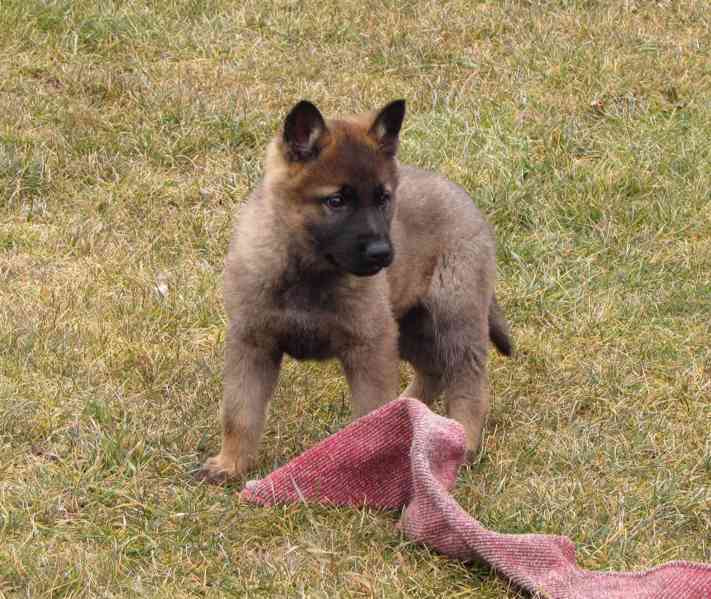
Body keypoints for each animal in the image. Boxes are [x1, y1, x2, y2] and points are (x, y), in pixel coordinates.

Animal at [197, 98, 512, 482]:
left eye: (383, 198)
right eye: (336, 201)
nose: (383, 253)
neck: (309, 271)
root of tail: (467, 203)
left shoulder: (368, 347)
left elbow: (370, 419)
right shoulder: (253, 344)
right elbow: (240, 412)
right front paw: (231, 464)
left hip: (453, 317)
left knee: (468, 379)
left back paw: (462, 438)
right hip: (408, 325)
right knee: (433, 370)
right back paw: (411, 411)